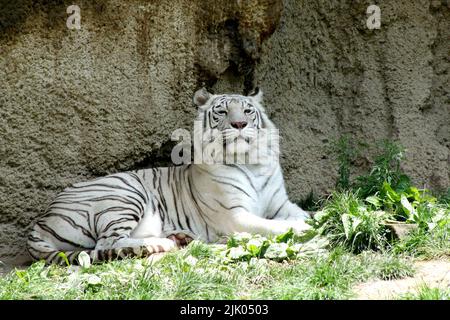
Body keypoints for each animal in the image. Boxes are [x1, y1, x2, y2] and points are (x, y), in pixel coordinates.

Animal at [27, 88, 310, 264]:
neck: (251, 163)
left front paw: (313, 218)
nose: (239, 124)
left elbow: (302, 212)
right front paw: (303, 227)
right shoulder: (234, 215)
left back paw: (178, 238)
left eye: (248, 111)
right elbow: (270, 225)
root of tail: (41, 220)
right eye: (222, 112)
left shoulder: (281, 204)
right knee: (105, 245)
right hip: (124, 196)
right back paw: (158, 246)